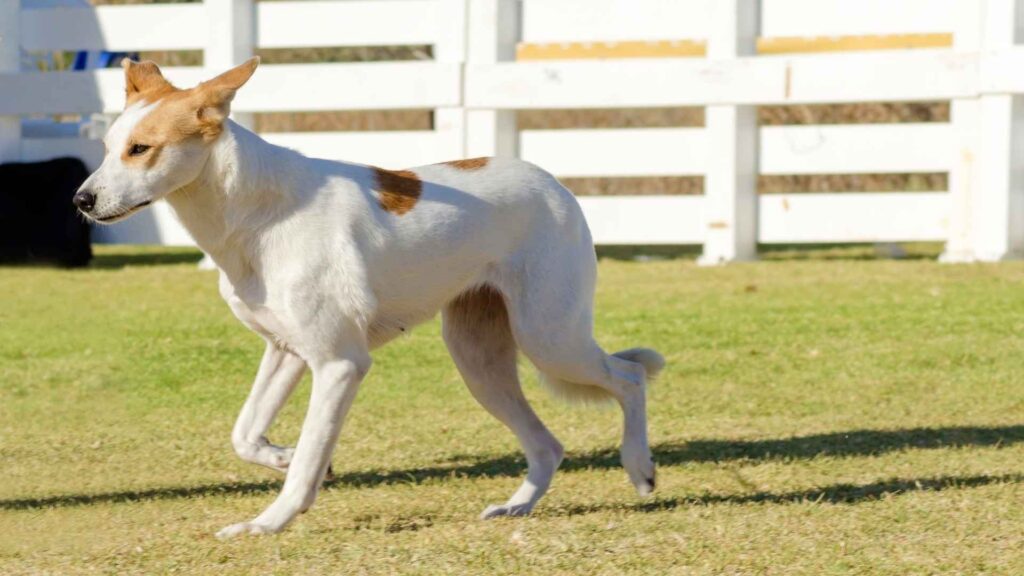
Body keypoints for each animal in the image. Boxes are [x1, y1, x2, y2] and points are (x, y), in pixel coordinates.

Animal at [72, 56, 663, 537]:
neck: (257, 213)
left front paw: (269, 521)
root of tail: (555, 183)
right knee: (547, 445)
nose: (81, 200)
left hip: (550, 337)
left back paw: (639, 468)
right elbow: (246, 434)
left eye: (141, 149)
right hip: (479, 361)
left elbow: (308, 456)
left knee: (630, 377)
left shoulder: (339, 364)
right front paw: (287, 459)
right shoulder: (287, 352)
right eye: (107, 150)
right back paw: (516, 508)